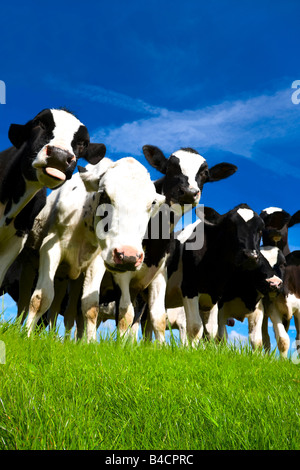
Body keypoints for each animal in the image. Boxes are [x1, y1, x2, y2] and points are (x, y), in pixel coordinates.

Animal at [165, 204, 282, 346]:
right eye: (230, 226)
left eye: (260, 230)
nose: (250, 255)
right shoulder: (189, 288)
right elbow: (195, 327)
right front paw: (190, 349)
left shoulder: (215, 297)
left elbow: (211, 331)